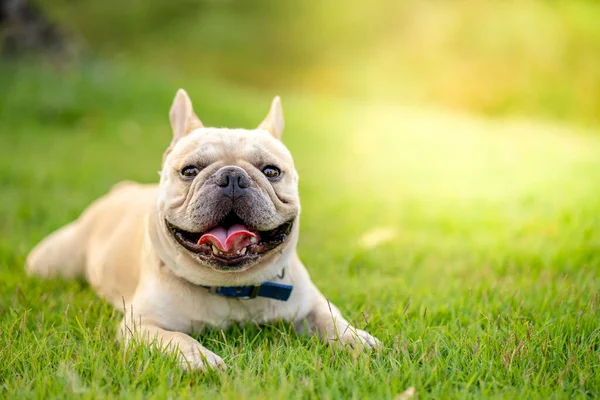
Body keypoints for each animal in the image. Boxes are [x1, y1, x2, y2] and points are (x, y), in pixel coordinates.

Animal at [25, 89, 380, 370]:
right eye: (190, 170)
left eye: (271, 171)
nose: (233, 176)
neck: (231, 288)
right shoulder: (141, 326)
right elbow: (174, 338)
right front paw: (199, 358)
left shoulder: (310, 303)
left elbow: (330, 318)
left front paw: (356, 339)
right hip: (50, 262)